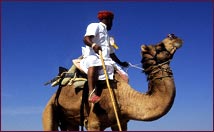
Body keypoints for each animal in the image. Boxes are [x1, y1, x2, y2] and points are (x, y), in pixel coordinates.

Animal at [42, 33, 183, 130]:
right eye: (159, 47)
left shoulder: (121, 122)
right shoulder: (93, 123)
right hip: (49, 110)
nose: (174, 36)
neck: (123, 97)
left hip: (69, 121)